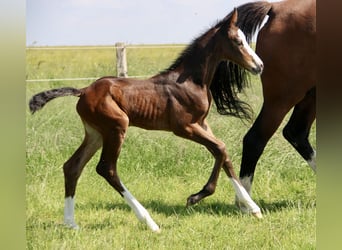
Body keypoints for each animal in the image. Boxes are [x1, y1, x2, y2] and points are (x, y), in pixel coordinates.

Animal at [28, 9, 264, 232]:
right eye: (238, 41)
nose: (259, 66)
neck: (191, 81)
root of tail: (83, 90)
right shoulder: (184, 127)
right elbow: (221, 148)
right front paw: (195, 197)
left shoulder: (203, 124)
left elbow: (223, 155)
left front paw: (253, 208)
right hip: (116, 127)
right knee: (106, 169)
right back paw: (149, 222)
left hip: (95, 133)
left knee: (72, 166)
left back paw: (71, 223)